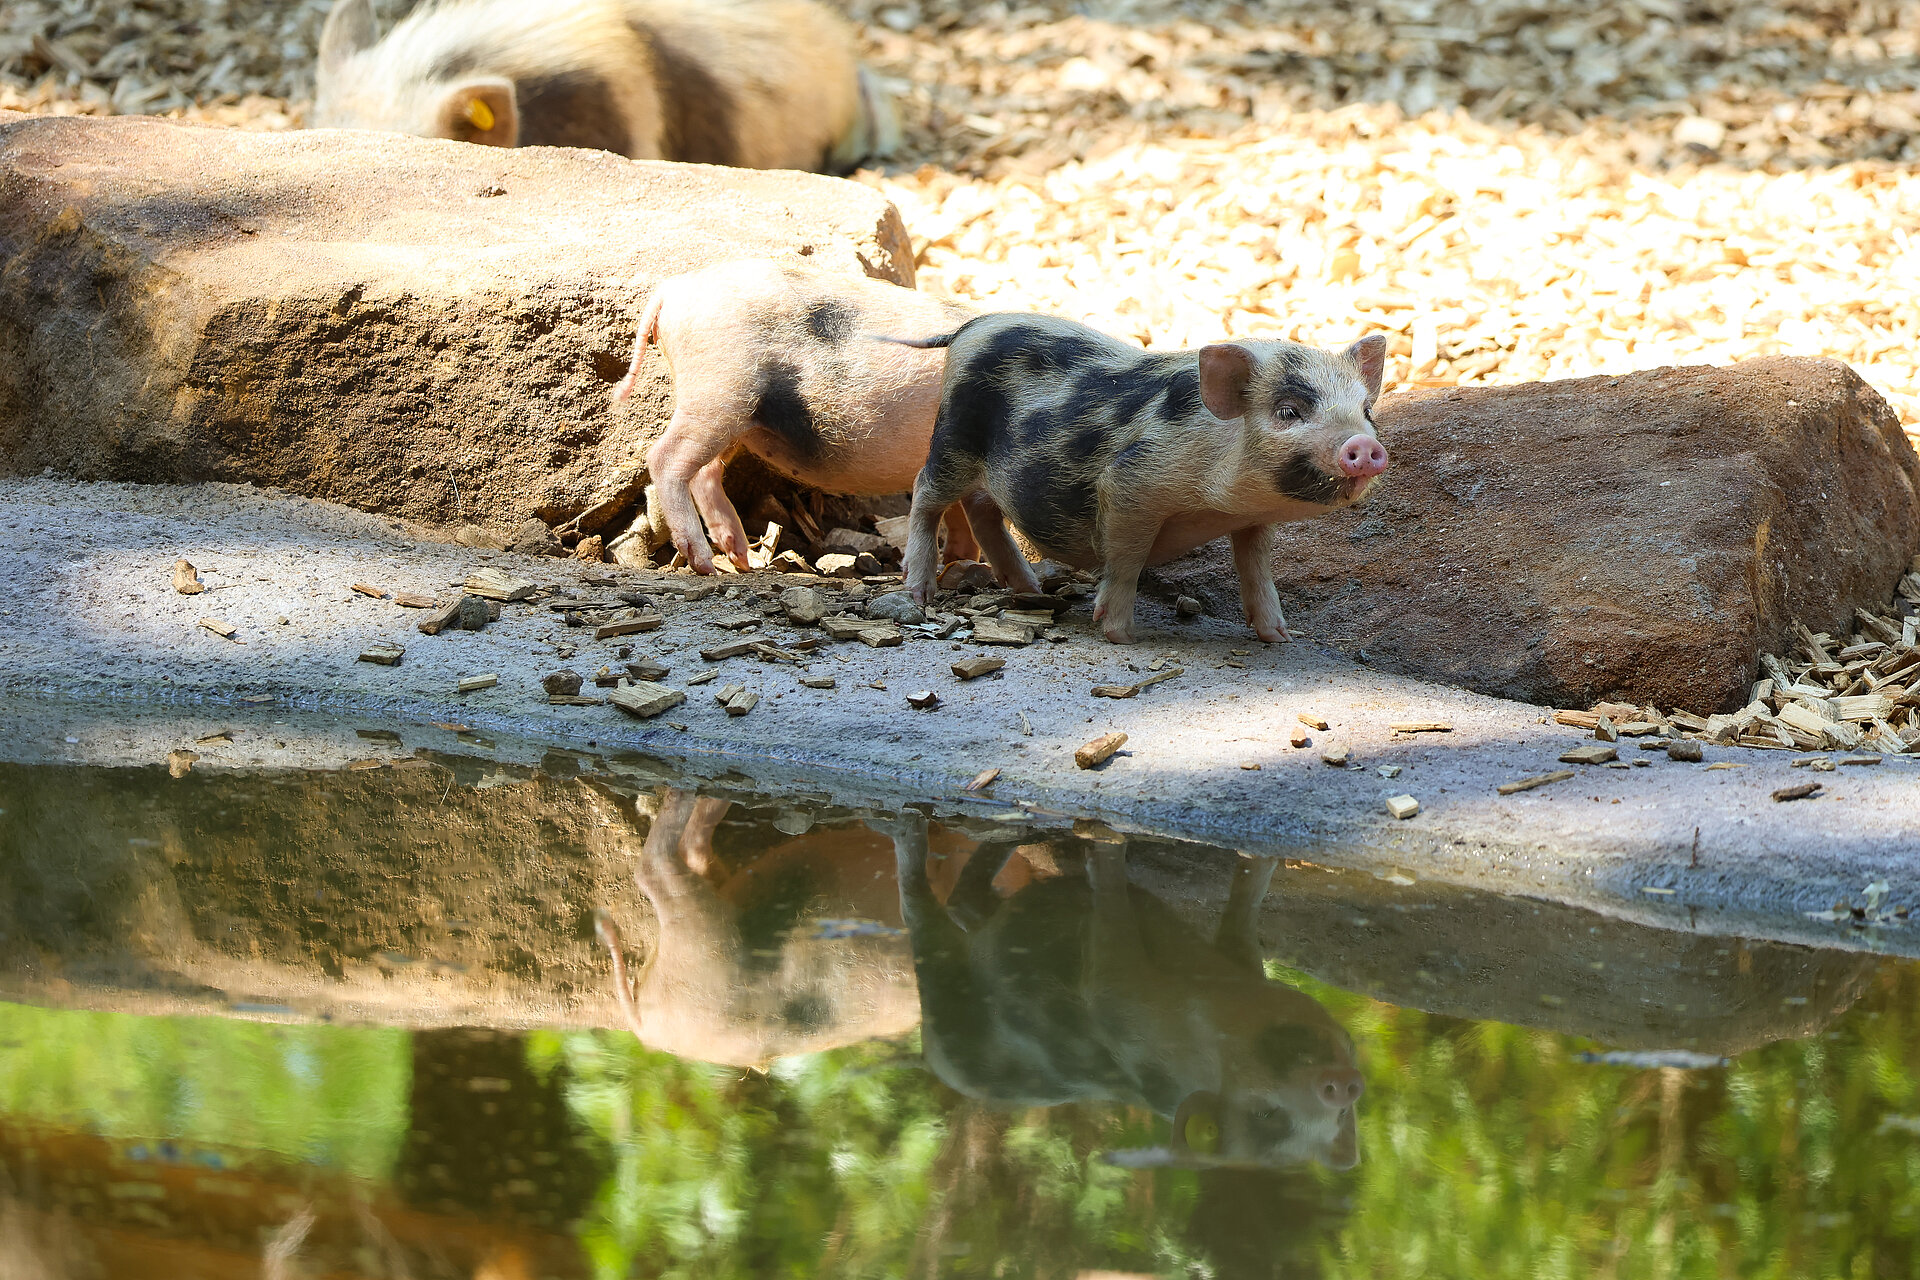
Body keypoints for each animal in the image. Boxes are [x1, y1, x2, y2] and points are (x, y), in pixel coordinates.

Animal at [611, 258, 978, 574]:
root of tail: (672, 290)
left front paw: (962, 562)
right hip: (717, 391)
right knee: (664, 458)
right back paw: (705, 564)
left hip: (732, 412)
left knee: (706, 472)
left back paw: (740, 557)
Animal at [889, 815, 1365, 1170]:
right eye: (1267, 1115)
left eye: (1340, 1118)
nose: (1341, 1089)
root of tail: (929, 1057)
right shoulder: (1121, 1008)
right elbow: (1109, 938)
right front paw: (1108, 845)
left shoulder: (1238, 962)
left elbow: (1245, 910)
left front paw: (1261, 858)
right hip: (946, 1006)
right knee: (918, 907)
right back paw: (910, 830)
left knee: (965, 902)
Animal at [896, 314, 1390, 644]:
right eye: (1288, 412)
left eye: (1366, 411)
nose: (1364, 446)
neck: (1219, 506)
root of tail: (970, 326)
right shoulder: (1130, 482)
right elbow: (1127, 559)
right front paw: (1119, 635)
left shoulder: (1251, 520)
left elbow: (1256, 567)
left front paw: (1280, 637)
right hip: (954, 435)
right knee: (925, 493)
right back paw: (919, 594)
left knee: (981, 508)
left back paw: (1030, 589)